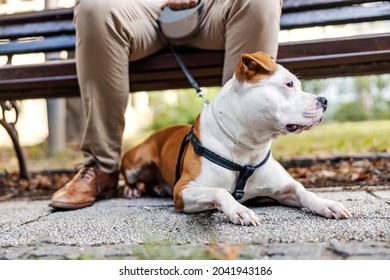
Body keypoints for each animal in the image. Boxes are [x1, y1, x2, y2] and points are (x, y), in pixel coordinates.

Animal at [120, 50, 352, 225]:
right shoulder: (183, 191)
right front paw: (239, 210)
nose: (324, 101)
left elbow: (304, 191)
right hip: (137, 161)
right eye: (289, 84)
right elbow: (219, 192)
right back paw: (132, 191)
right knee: (130, 176)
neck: (247, 149)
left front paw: (327, 204)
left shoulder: (285, 188)